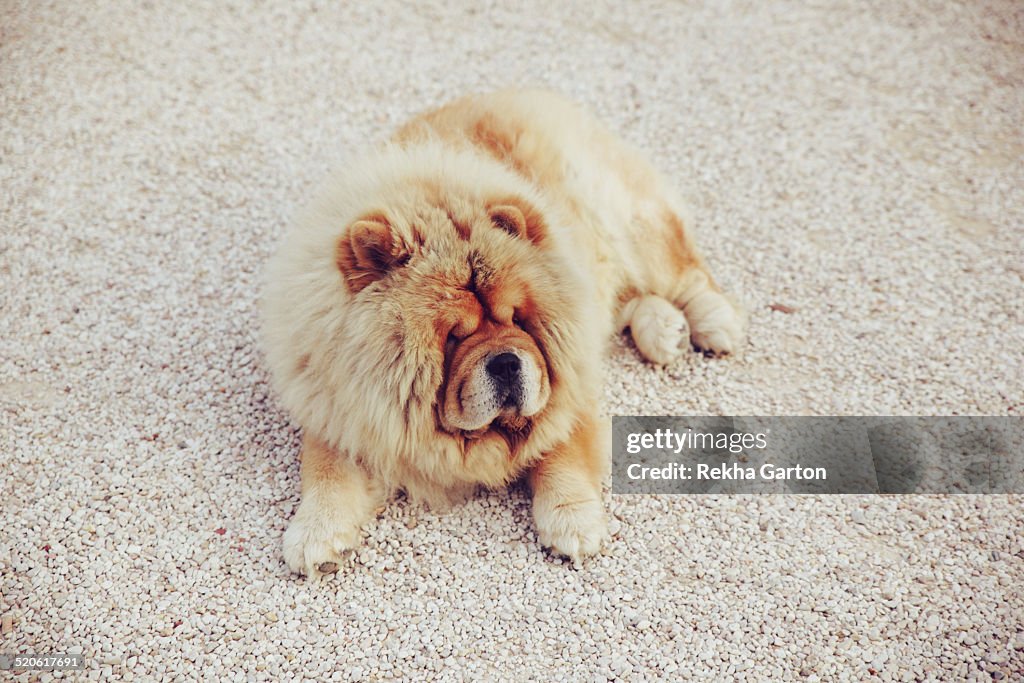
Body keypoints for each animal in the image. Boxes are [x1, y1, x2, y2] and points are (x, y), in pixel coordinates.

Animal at [262, 87, 745, 577]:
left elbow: (562, 449)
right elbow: (325, 463)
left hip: (623, 221)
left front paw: (573, 522)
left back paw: (714, 323)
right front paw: (316, 535)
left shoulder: (570, 378)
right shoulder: (338, 401)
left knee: (683, 271)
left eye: (516, 319)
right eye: (453, 337)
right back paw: (664, 331)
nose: (507, 362)